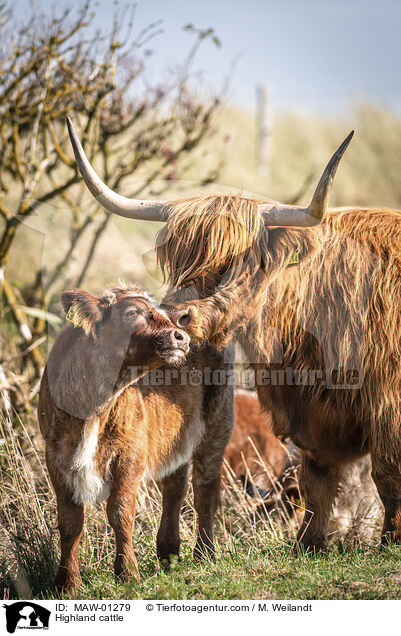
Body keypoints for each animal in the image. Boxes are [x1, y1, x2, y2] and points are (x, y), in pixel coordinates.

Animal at [39, 284, 233, 592]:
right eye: (132, 313)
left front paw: (128, 573)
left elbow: (120, 512)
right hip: (175, 435)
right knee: (174, 488)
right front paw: (66, 583)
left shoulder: (131, 453)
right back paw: (169, 553)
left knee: (206, 488)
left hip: (218, 421)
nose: (181, 336)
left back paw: (205, 553)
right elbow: (69, 521)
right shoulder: (56, 456)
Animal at [67, 118, 398, 552]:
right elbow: (317, 481)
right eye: (178, 260)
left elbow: (387, 475)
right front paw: (308, 544)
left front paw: (391, 541)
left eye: (239, 262)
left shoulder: (387, 403)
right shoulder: (312, 419)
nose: (177, 316)